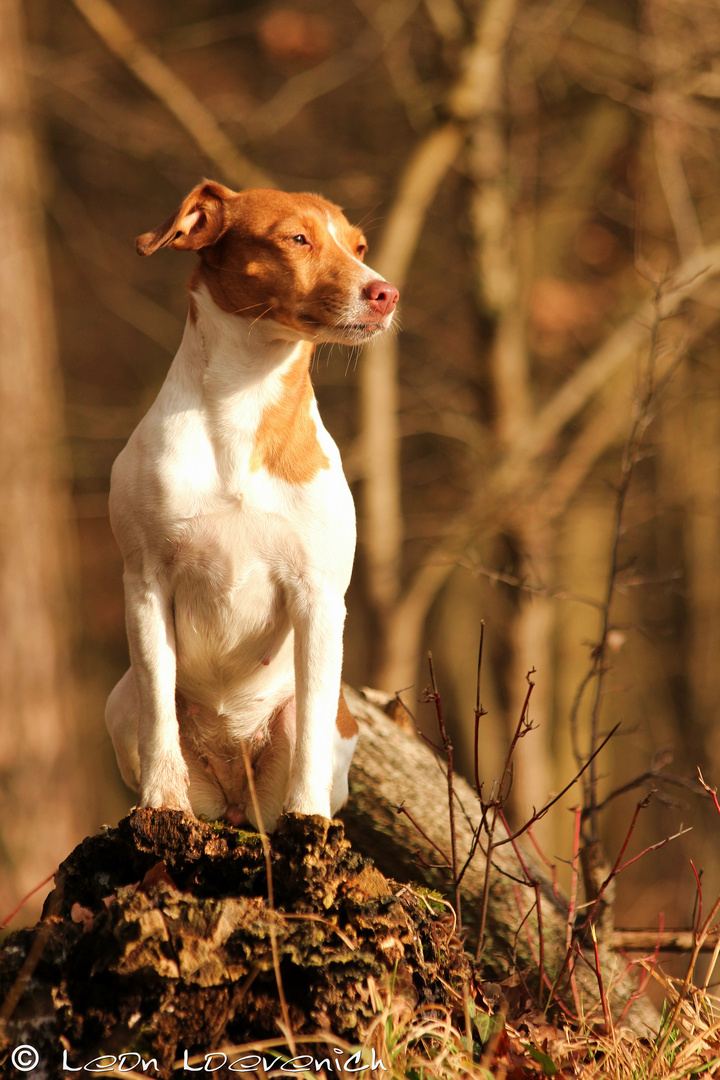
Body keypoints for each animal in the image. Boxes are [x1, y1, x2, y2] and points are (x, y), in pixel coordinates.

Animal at [104, 181, 399, 829]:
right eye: (297, 238)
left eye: (359, 246)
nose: (386, 292)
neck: (244, 401)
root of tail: (236, 796)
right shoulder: (145, 584)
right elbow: (160, 719)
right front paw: (162, 803)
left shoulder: (320, 598)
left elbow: (310, 730)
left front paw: (307, 819)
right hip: (121, 701)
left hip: (322, 726)